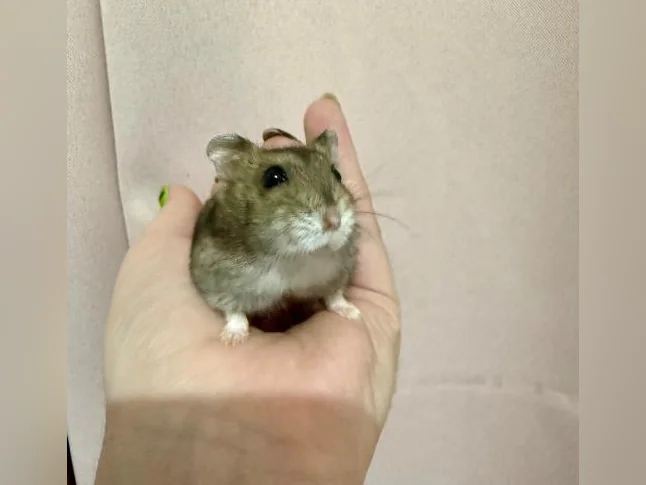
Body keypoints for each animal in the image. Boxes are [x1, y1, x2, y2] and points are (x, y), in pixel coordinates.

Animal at [189, 129, 361, 345]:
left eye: (337, 174)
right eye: (273, 177)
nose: (335, 221)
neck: (294, 258)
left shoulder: (340, 271)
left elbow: (335, 296)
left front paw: (355, 314)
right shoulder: (216, 283)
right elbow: (233, 311)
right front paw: (232, 340)